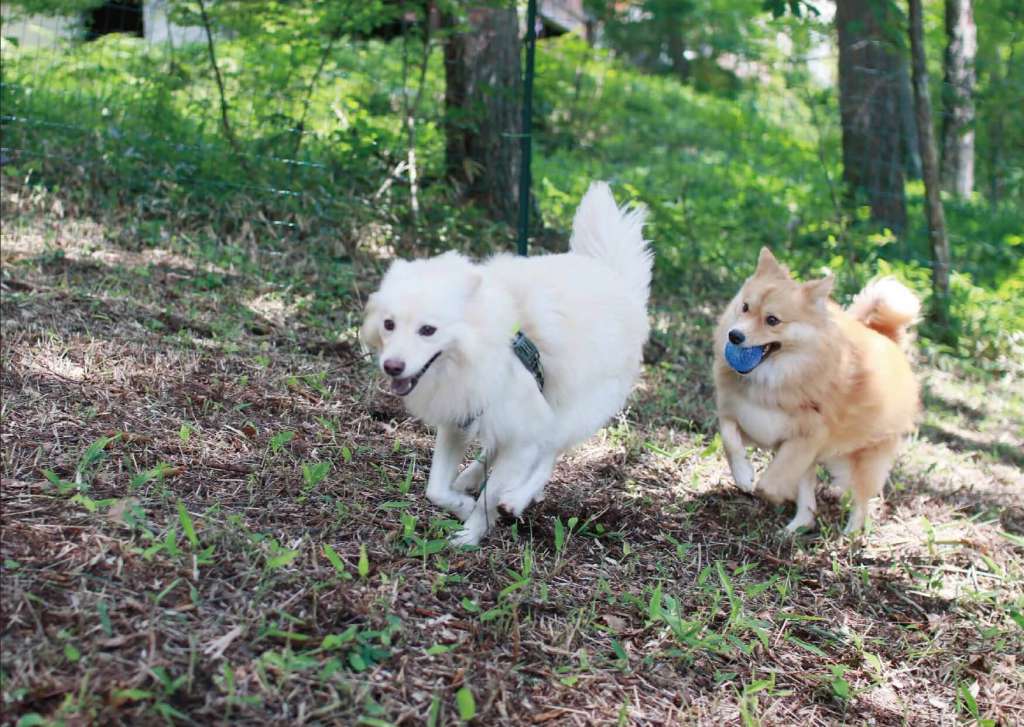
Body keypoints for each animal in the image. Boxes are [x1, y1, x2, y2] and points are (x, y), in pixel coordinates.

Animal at [360, 182, 647, 548]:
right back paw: (469, 479)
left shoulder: (525, 431)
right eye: (389, 324)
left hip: (571, 411)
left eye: (428, 330)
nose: (392, 366)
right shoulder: (459, 420)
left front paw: (470, 532)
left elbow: (492, 494)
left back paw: (516, 498)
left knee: (547, 457)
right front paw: (461, 504)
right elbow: (435, 489)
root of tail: (615, 277)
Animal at [712, 250, 921, 536]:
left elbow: (771, 481)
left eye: (772, 320)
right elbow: (729, 439)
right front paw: (743, 475)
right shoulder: (745, 419)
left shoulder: (806, 438)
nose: (734, 336)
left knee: (860, 498)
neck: (772, 376)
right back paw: (796, 527)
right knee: (809, 503)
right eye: (744, 307)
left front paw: (774, 493)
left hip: (861, 460)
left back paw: (850, 532)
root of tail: (887, 339)